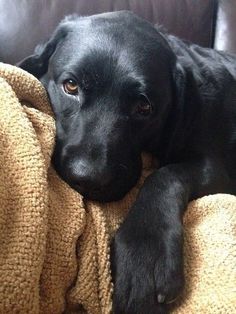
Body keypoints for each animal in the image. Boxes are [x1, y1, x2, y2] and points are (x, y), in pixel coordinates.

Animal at [18, 11, 236, 312]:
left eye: (144, 107)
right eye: (71, 86)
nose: (88, 177)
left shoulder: (215, 167)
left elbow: (165, 175)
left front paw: (145, 252)